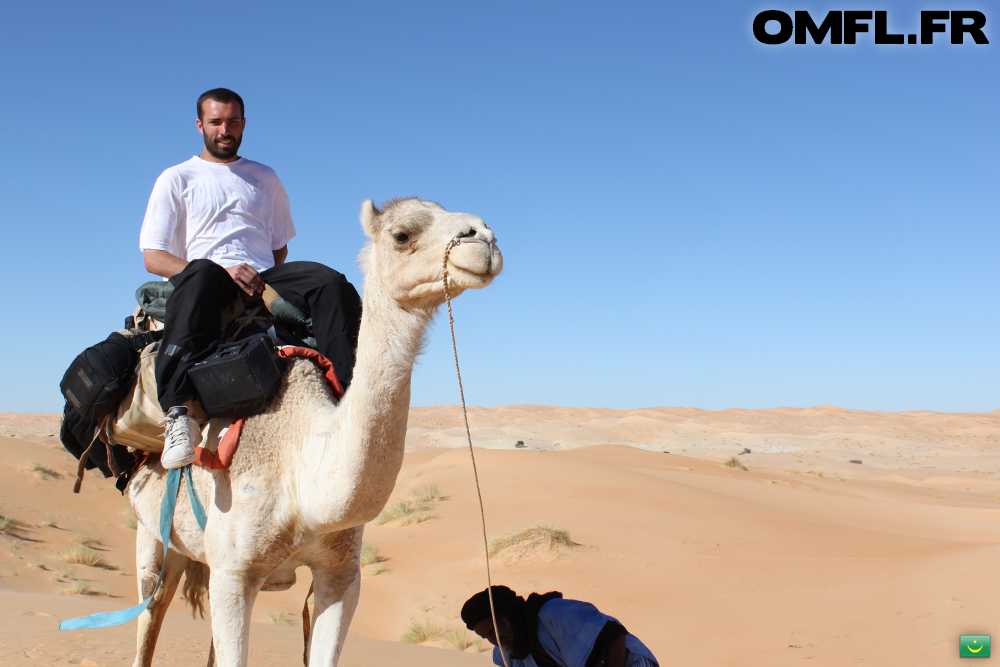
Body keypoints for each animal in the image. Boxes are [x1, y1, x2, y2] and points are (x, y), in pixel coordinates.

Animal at [125, 198, 504, 667]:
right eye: (402, 235)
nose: (484, 238)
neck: (303, 475)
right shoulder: (234, 571)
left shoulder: (340, 573)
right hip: (152, 531)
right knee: (151, 609)